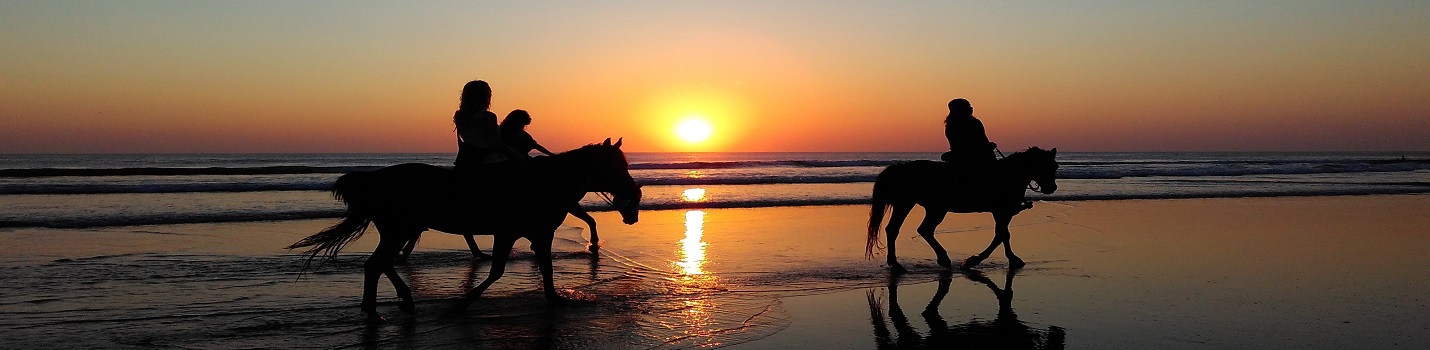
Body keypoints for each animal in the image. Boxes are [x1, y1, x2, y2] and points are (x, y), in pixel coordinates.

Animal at [287, 137, 640, 318]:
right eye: (617, 164)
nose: (633, 194)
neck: (543, 182)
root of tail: (374, 180)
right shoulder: (512, 232)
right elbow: (499, 270)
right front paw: (464, 301)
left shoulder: (537, 234)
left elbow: (545, 269)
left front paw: (553, 299)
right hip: (399, 230)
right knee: (377, 264)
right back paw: (377, 309)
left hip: (397, 230)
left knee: (379, 264)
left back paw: (395, 301)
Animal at [863, 146, 1058, 271]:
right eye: (1048, 166)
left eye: (1055, 166)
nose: (1052, 187)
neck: (1008, 174)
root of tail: (901, 168)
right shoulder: (1002, 211)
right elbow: (1002, 235)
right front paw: (974, 260)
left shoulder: (1000, 213)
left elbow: (1002, 235)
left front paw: (1010, 259)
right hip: (920, 206)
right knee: (914, 229)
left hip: (922, 206)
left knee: (906, 229)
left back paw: (901, 263)